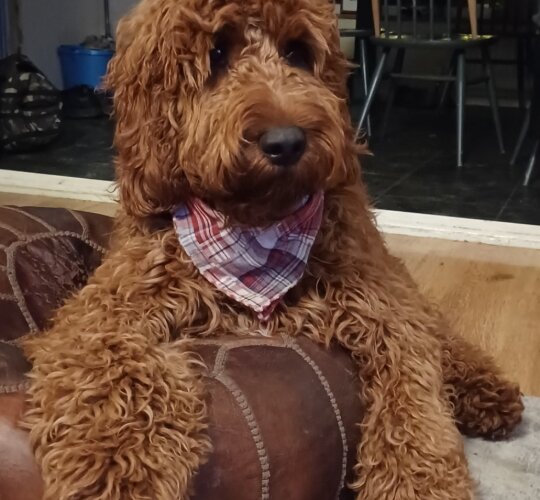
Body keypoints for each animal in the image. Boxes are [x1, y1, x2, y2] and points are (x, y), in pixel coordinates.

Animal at [24, 0, 524, 498]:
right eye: (217, 53)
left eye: (297, 52)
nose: (286, 141)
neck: (257, 229)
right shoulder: (107, 309)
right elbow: (110, 366)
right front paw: (115, 466)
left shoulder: (384, 310)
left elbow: (412, 397)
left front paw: (418, 482)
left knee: (444, 337)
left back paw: (488, 392)